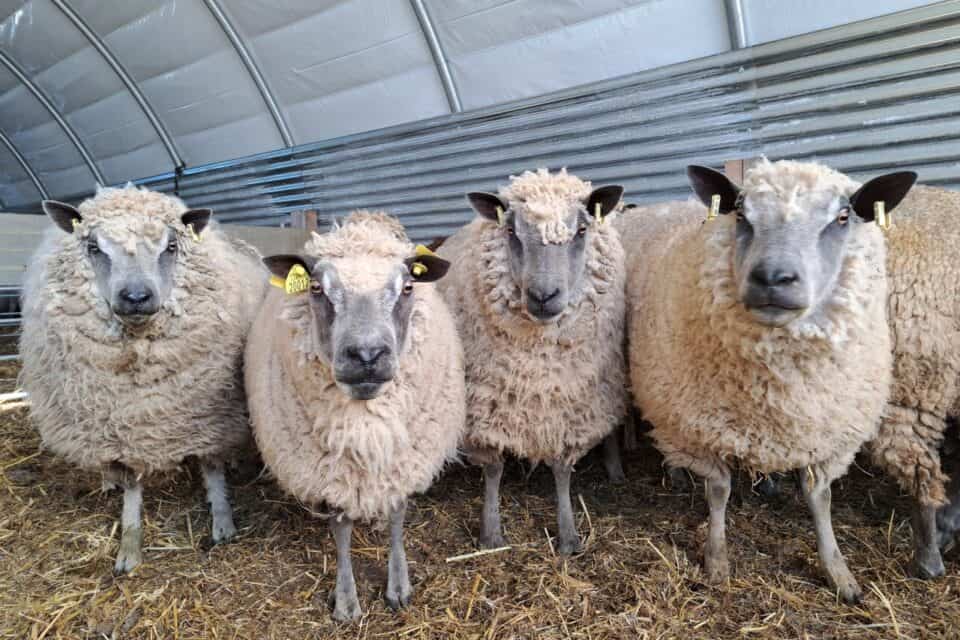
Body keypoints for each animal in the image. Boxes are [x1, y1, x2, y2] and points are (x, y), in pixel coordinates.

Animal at [18, 185, 266, 574]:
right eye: (94, 247)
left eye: (171, 246)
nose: (136, 297)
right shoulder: (127, 431)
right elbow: (133, 486)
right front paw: (129, 545)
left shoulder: (209, 415)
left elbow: (211, 467)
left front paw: (223, 521)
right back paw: (108, 481)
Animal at [245, 211, 465, 621]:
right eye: (316, 287)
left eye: (407, 287)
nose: (366, 355)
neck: (365, 427)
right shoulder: (331, 471)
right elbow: (341, 526)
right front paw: (346, 600)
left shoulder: (402, 460)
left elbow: (396, 513)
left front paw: (398, 586)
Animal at [435, 168, 628, 555]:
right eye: (511, 231)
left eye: (581, 230)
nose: (543, 296)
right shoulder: (483, 407)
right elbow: (493, 470)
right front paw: (490, 532)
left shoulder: (568, 407)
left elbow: (562, 471)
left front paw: (568, 535)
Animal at [625, 159, 915, 602]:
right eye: (742, 214)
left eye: (843, 216)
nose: (773, 278)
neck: (779, 381)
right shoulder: (701, 426)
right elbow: (719, 491)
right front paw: (717, 561)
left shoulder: (827, 434)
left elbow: (820, 498)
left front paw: (839, 573)